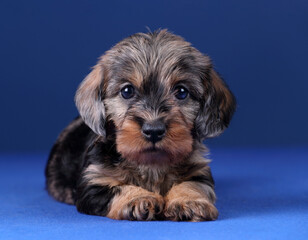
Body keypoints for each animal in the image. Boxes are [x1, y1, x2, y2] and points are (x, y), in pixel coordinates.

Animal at [44, 29, 235, 221]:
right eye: (127, 91)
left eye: (181, 92)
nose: (154, 131)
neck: (150, 165)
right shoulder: (93, 182)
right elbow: (118, 188)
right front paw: (138, 198)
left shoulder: (198, 171)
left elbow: (192, 184)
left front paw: (188, 201)